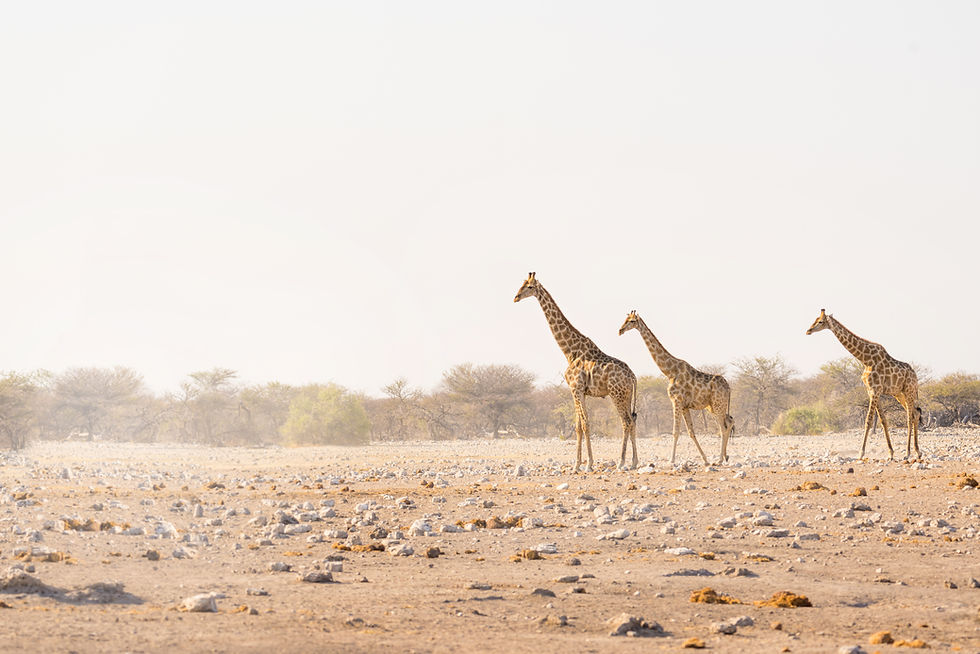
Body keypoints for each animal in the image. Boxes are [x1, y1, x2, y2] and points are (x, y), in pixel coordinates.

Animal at [514, 273, 638, 472]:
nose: (516, 297)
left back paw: (621, 462)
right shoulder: (581, 391)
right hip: (626, 396)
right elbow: (579, 426)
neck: (569, 351)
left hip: (616, 394)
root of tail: (633, 376)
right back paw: (634, 462)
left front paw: (589, 464)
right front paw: (576, 465)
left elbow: (585, 424)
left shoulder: (576, 388)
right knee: (632, 421)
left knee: (625, 422)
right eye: (523, 283)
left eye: (529, 286)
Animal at [619, 311, 734, 465]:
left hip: (718, 404)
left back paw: (720, 459)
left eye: (631, 321)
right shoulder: (685, 406)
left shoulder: (676, 401)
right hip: (713, 406)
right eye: (625, 319)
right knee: (729, 422)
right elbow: (691, 432)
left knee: (723, 427)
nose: (620, 330)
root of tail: (729, 387)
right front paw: (705, 459)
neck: (670, 371)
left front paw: (671, 460)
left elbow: (675, 431)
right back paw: (725, 456)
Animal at [806, 309, 922, 460]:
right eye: (814, 319)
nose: (808, 331)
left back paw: (908, 453)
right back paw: (917, 452)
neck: (865, 359)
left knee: (909, 417)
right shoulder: (872, 391)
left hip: (909, 391)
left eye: (820, 321)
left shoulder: (875, 390)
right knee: (915, 413)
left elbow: (868, 420)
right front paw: (890, 453)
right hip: (899, 393)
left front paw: (861, 453)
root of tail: (915, 376)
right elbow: (883, 420)